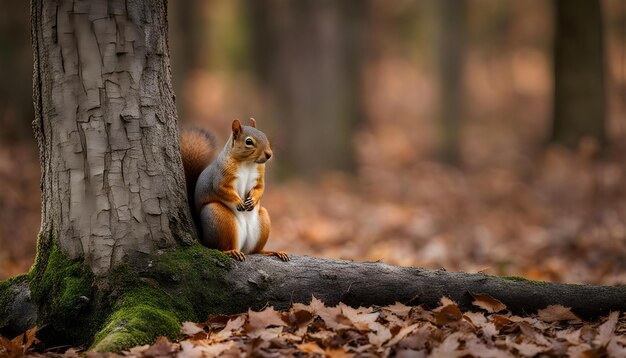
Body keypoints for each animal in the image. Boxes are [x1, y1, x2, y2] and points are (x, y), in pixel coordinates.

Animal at [179, 119, 288, 262]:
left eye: (264, 135)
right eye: (249, 142)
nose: (269, 154)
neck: (248, 163)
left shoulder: (259, 178)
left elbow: (259, 189)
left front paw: (252, 201)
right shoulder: (221, 179)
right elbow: (222, 189)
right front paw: (238, 202)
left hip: (263, 220)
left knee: (256, 251)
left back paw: (273, 252)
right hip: (219, 218)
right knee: (219, 247)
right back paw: (231, 251)